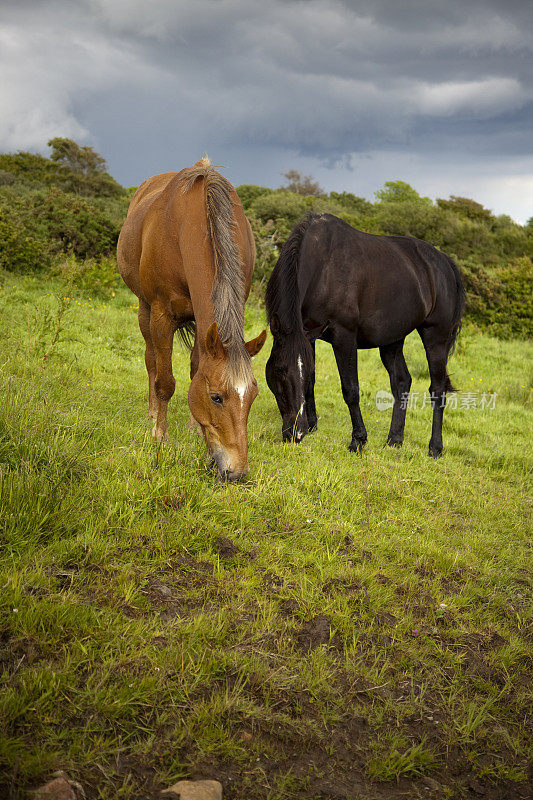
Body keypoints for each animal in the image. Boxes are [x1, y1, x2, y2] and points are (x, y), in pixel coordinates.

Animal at [117, 157, 264, 482]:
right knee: (151, 361)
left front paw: (195, 429)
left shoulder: (204, 322)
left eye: (253, 396)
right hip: (144, 309)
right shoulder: (162, 314)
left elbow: (197, 367)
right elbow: (165, 381)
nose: (236, 472)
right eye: (216, 397)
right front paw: (160, 436)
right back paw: (151, 415)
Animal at [264, 212, 464, 456]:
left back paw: (435, 447)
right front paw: (313, 425)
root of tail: (445, 262)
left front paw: (358, 440)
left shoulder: (344, 337)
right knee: (401, 382)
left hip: (435, 337)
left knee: (437, 389)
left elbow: (350, 389)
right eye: (280, 370)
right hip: (393, 339)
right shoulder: (308, 335)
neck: (324, 267)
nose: (297, 432)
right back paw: (394, 440)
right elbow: (310, 381)